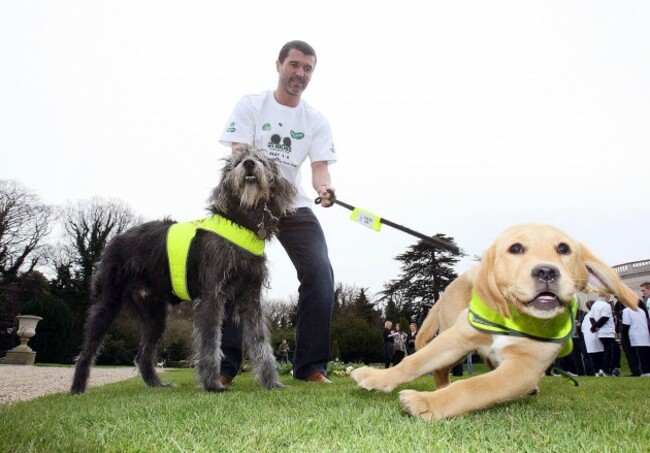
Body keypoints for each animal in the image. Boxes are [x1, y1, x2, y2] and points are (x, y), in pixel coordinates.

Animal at [69, 146, 294, 392]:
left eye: (260, 160)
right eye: (236, 163)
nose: (249, 164)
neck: (241, 222)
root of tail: (113, 241)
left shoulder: (251, 299)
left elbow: (261, 342)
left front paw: (271, 382)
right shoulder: (211, 296)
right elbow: (210, 343)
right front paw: (212, 384)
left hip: (155, 315)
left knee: (143, 354)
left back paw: (156, 384)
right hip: (107, 303)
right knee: (86, 351)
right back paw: (77, 388)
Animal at [352, 223, 636, 420]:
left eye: (563, 249)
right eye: (516, 248)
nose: (546, 271)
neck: (514, 319)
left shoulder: (524, 368)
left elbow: (474, 386)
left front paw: (427, 403)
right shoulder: (456, 339)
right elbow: (412, 361)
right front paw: (376, 377)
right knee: (441, 370)